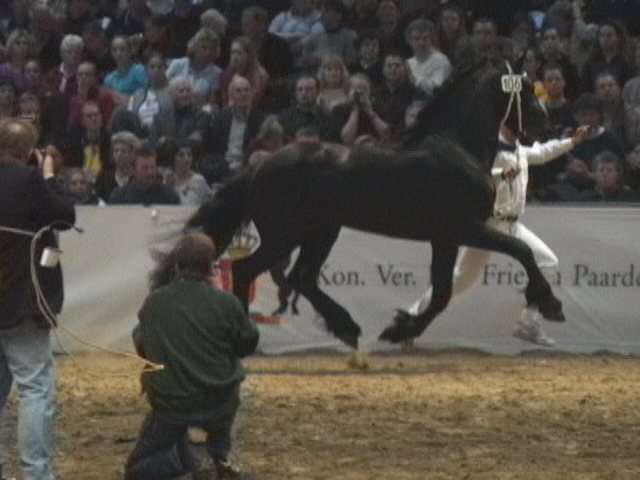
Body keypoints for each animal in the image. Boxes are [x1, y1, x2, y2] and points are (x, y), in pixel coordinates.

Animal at [186, 52, 564, 349]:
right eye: (526, 87)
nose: (546, 123)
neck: (458, 148)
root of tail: (259, 167)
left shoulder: (445, 238)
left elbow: (442, 292)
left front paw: (399, 330)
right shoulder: (464, 228)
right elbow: (521, 250)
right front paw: (551, 303)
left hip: (322, 232)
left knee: (302, 277)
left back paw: (347, 328)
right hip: (286, 235)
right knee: (248, 270)